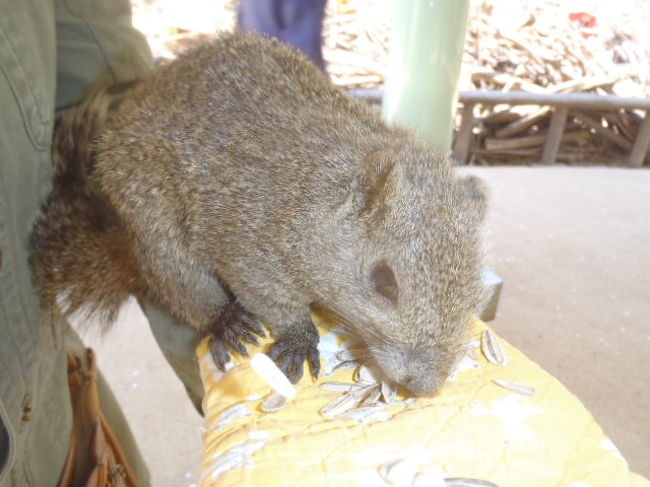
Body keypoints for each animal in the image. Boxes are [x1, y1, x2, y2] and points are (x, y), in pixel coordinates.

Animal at [30, 31, 486, 396]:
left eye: (475, 292)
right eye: (384, 282)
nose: (425, 387)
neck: (318, 195)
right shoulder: (249, 244)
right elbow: (271, 297)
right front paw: (300, 339)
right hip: (158, 235)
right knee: (189, 293)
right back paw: (226, 321)